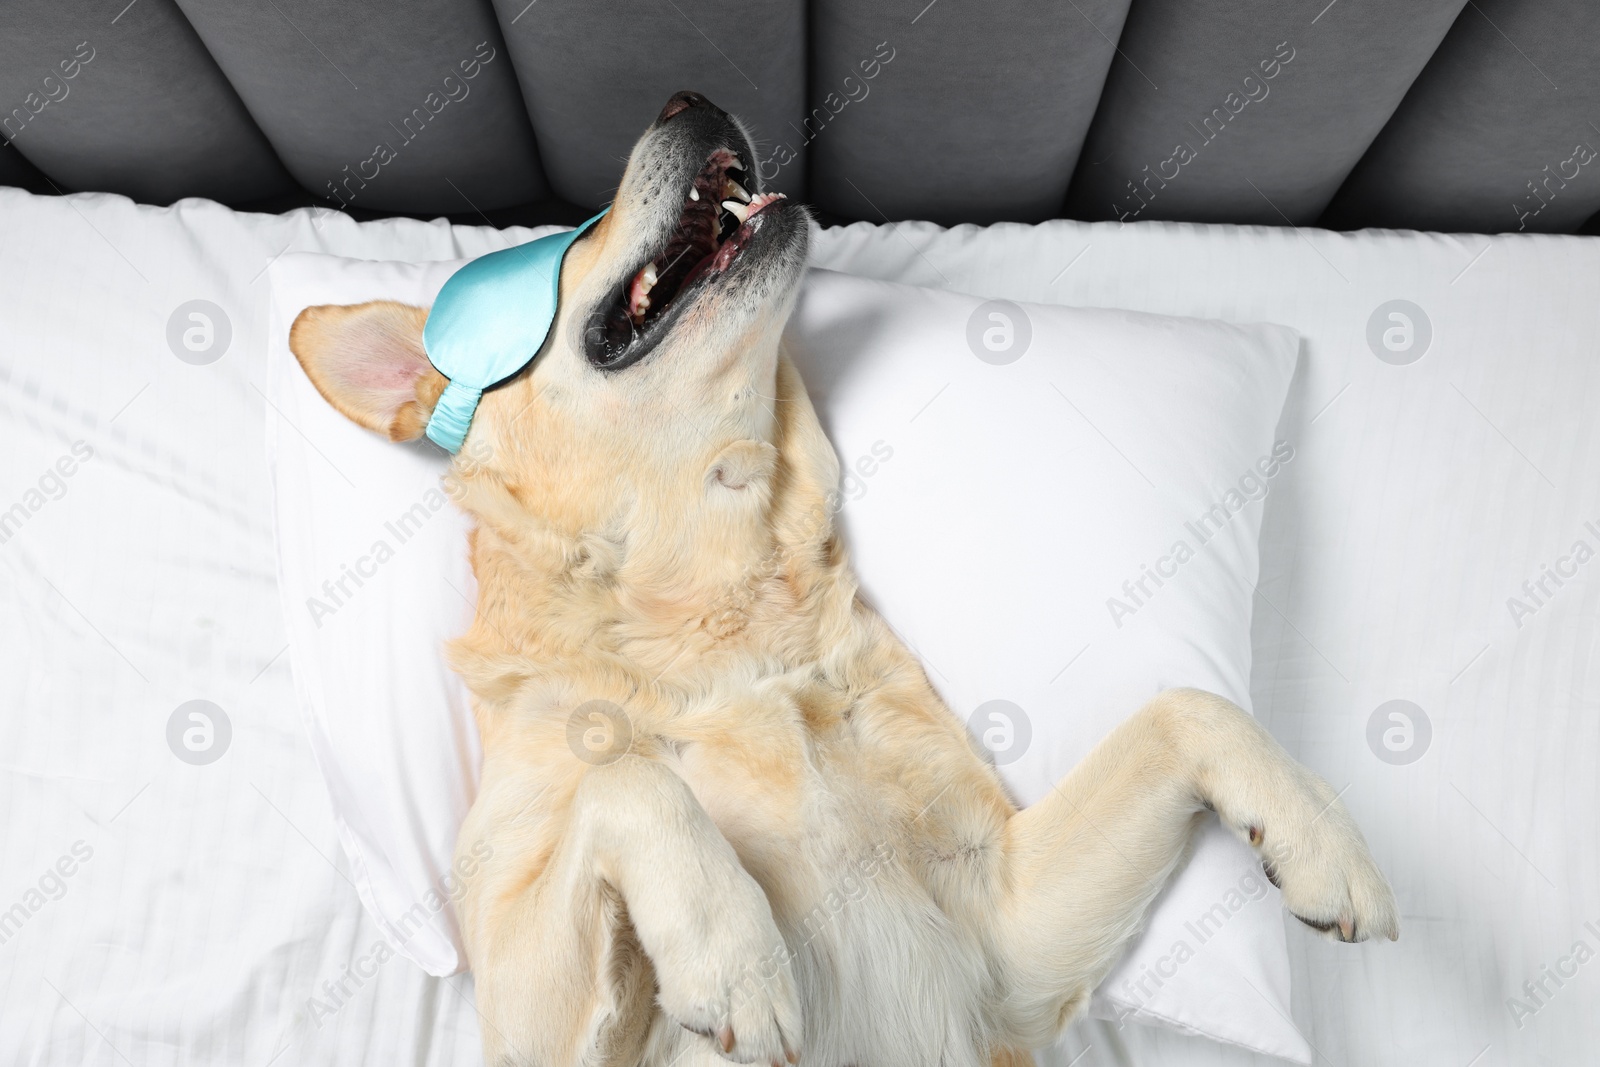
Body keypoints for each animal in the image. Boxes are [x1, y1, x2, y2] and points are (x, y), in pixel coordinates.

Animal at [291, 91, 1401, 1067]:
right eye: (575, 236)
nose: (688, 97)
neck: (715, 610)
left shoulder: (1004, 942)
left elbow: (1187, 706)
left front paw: (1321, 836)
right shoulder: (529, 1023)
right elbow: (633, 775)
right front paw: (732, 953)